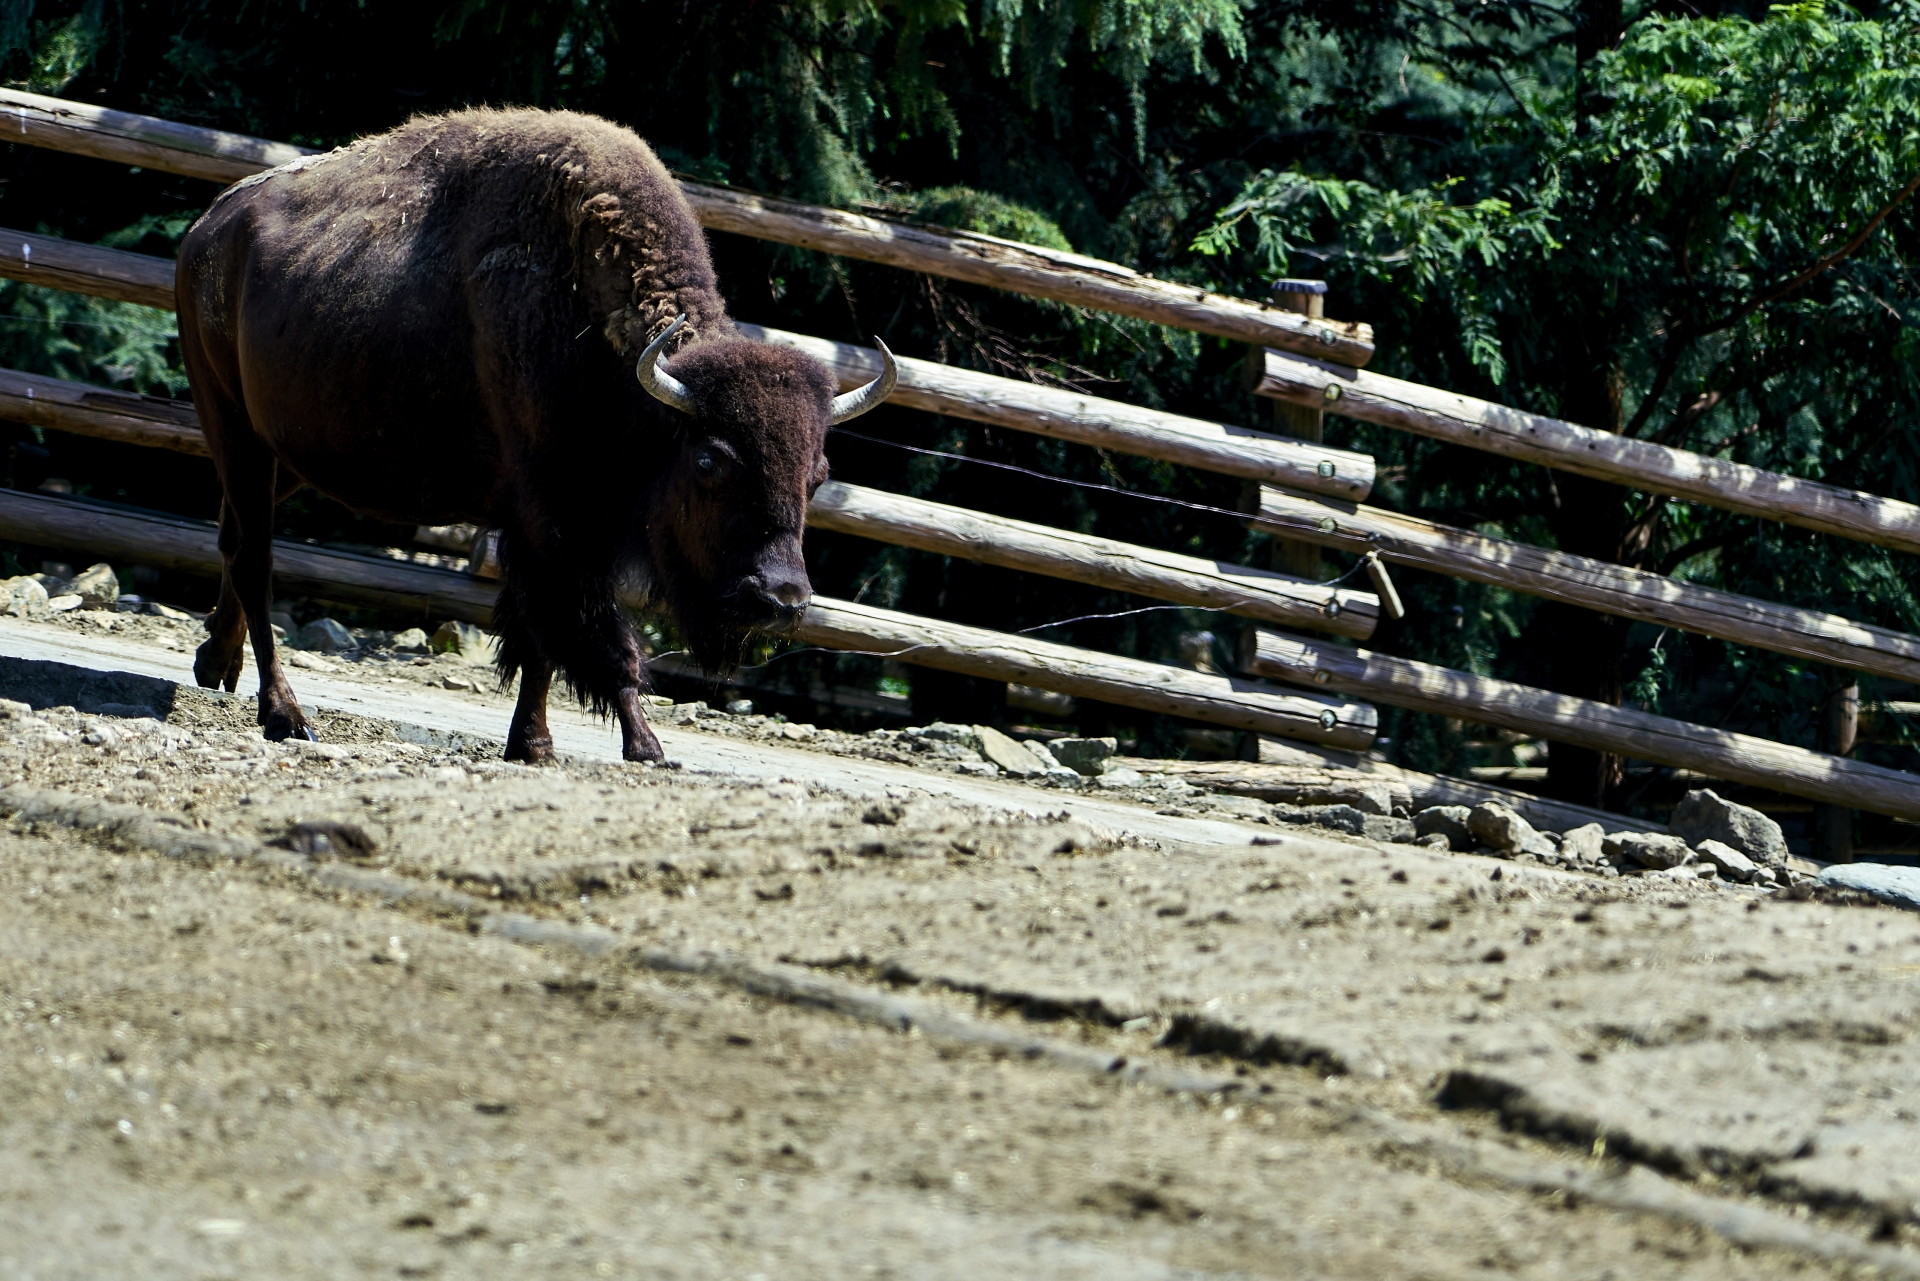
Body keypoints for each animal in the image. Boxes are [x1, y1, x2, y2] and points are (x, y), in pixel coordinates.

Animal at [176, 110, 894, 760]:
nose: (779, 599)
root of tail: (207, 229)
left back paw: (217, 662)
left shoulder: (563, 529)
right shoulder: (550, 525)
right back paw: (285, 715)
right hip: (233, 428)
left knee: (232, 536)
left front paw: (535, 744)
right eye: (711, 462)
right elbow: (585, 635)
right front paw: (645, 745)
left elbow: (541, 640)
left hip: (284, 456)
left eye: (818, 477)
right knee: (254, 557)